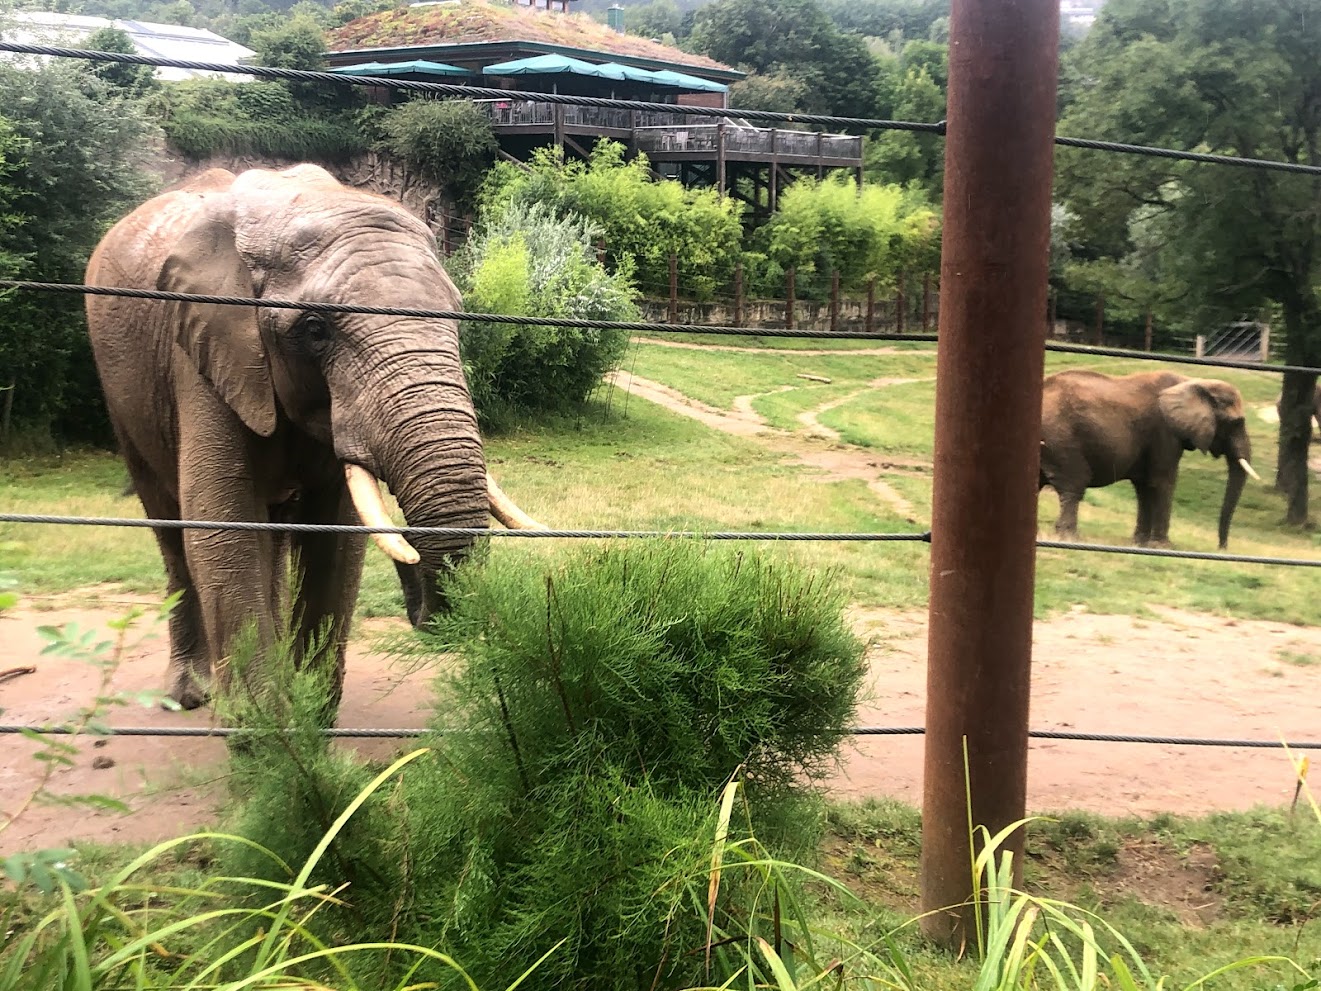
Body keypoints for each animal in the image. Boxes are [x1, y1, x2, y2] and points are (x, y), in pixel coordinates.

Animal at [85, 164, 544, 712]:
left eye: (457, 316)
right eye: (315, 328)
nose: (415, 579)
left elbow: (337, 535)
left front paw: (307, 709)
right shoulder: (202, 349)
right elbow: (223, 523)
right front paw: (264, 725)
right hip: (121, 388)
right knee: (169, 526)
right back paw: (191, 694)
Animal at [1038, 369, 1259, 549]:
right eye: (1235, 422)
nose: (1221, 548)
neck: (1192, 381)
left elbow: (1144, 487)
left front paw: (1140, 544)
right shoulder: (1164, 432)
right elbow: (1162, 482)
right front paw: (1163, 547)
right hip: (1062, 438)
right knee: (1074, 485)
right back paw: (1070, 538)